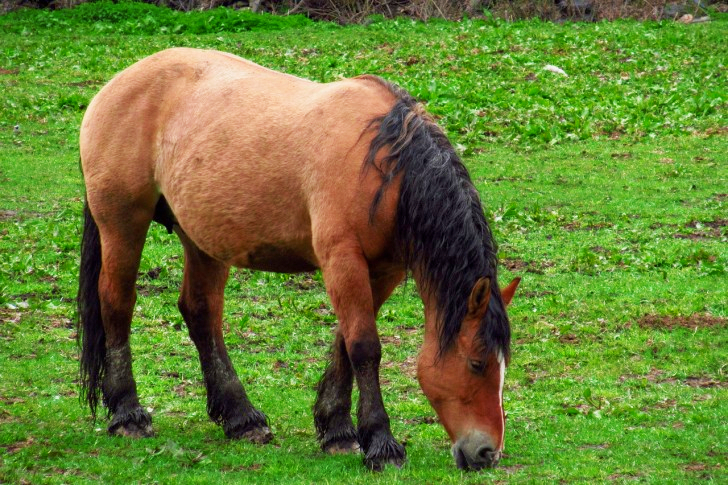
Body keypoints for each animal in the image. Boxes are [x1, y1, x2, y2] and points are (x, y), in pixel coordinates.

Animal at [77, 47, 520, 472]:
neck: (385, 164)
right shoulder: (342, 259)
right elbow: (364, 347)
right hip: (122, 224)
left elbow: (345, 342)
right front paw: (380, 444)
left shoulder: (384, 270)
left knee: (201, 313)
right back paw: (128, 414)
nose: (487, 453)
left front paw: (338, 430)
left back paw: (241, 418)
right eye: (477, 363)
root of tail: (116, 85)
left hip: (203, 240)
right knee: (117, 304)